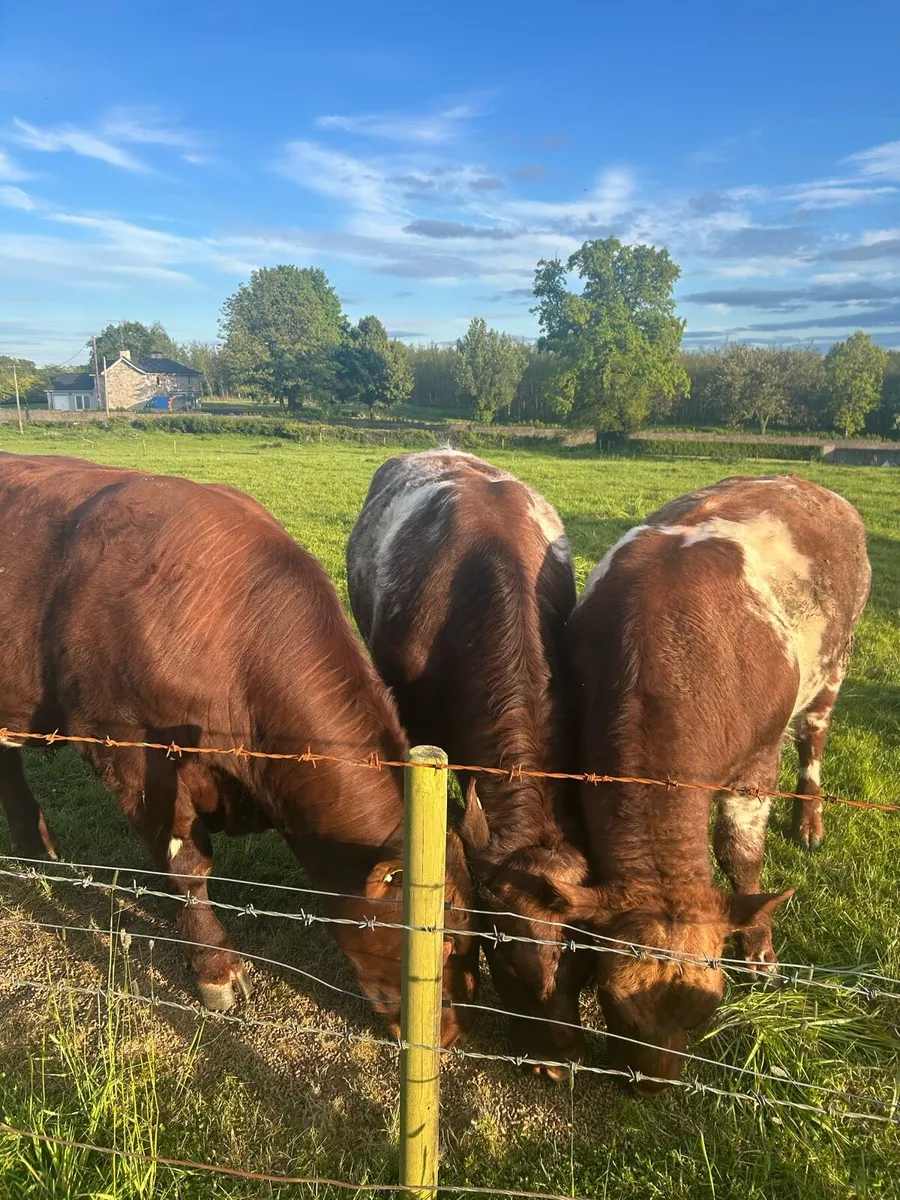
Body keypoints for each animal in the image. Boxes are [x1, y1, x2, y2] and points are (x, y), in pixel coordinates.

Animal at [0, 453, 480, 1047]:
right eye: (445, 942)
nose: (451, 1036)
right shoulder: (129, 751)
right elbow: (187, 865)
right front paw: (215, 969)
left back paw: (37, 854)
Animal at [559, 475, 871, 1092]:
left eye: (707, 1006)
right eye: (611, 1001)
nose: (653, 1086)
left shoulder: (755, 765)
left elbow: (741, 857)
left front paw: (760, 954)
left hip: (834, 665)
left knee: (814, 740)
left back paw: (809, 820)